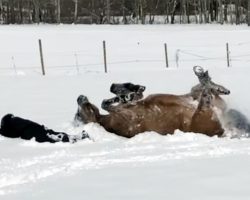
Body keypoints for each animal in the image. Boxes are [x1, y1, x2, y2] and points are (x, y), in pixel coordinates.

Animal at [75, 66, 249, 138]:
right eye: (77, 115)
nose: (80, 97)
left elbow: (111, 100)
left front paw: (129, 90)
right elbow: (107, 104)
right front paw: (126, 94)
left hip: (195, 96)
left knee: (201, 89)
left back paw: (209, 81)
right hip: (201, 116)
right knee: (205, 97)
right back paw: (205, 81)